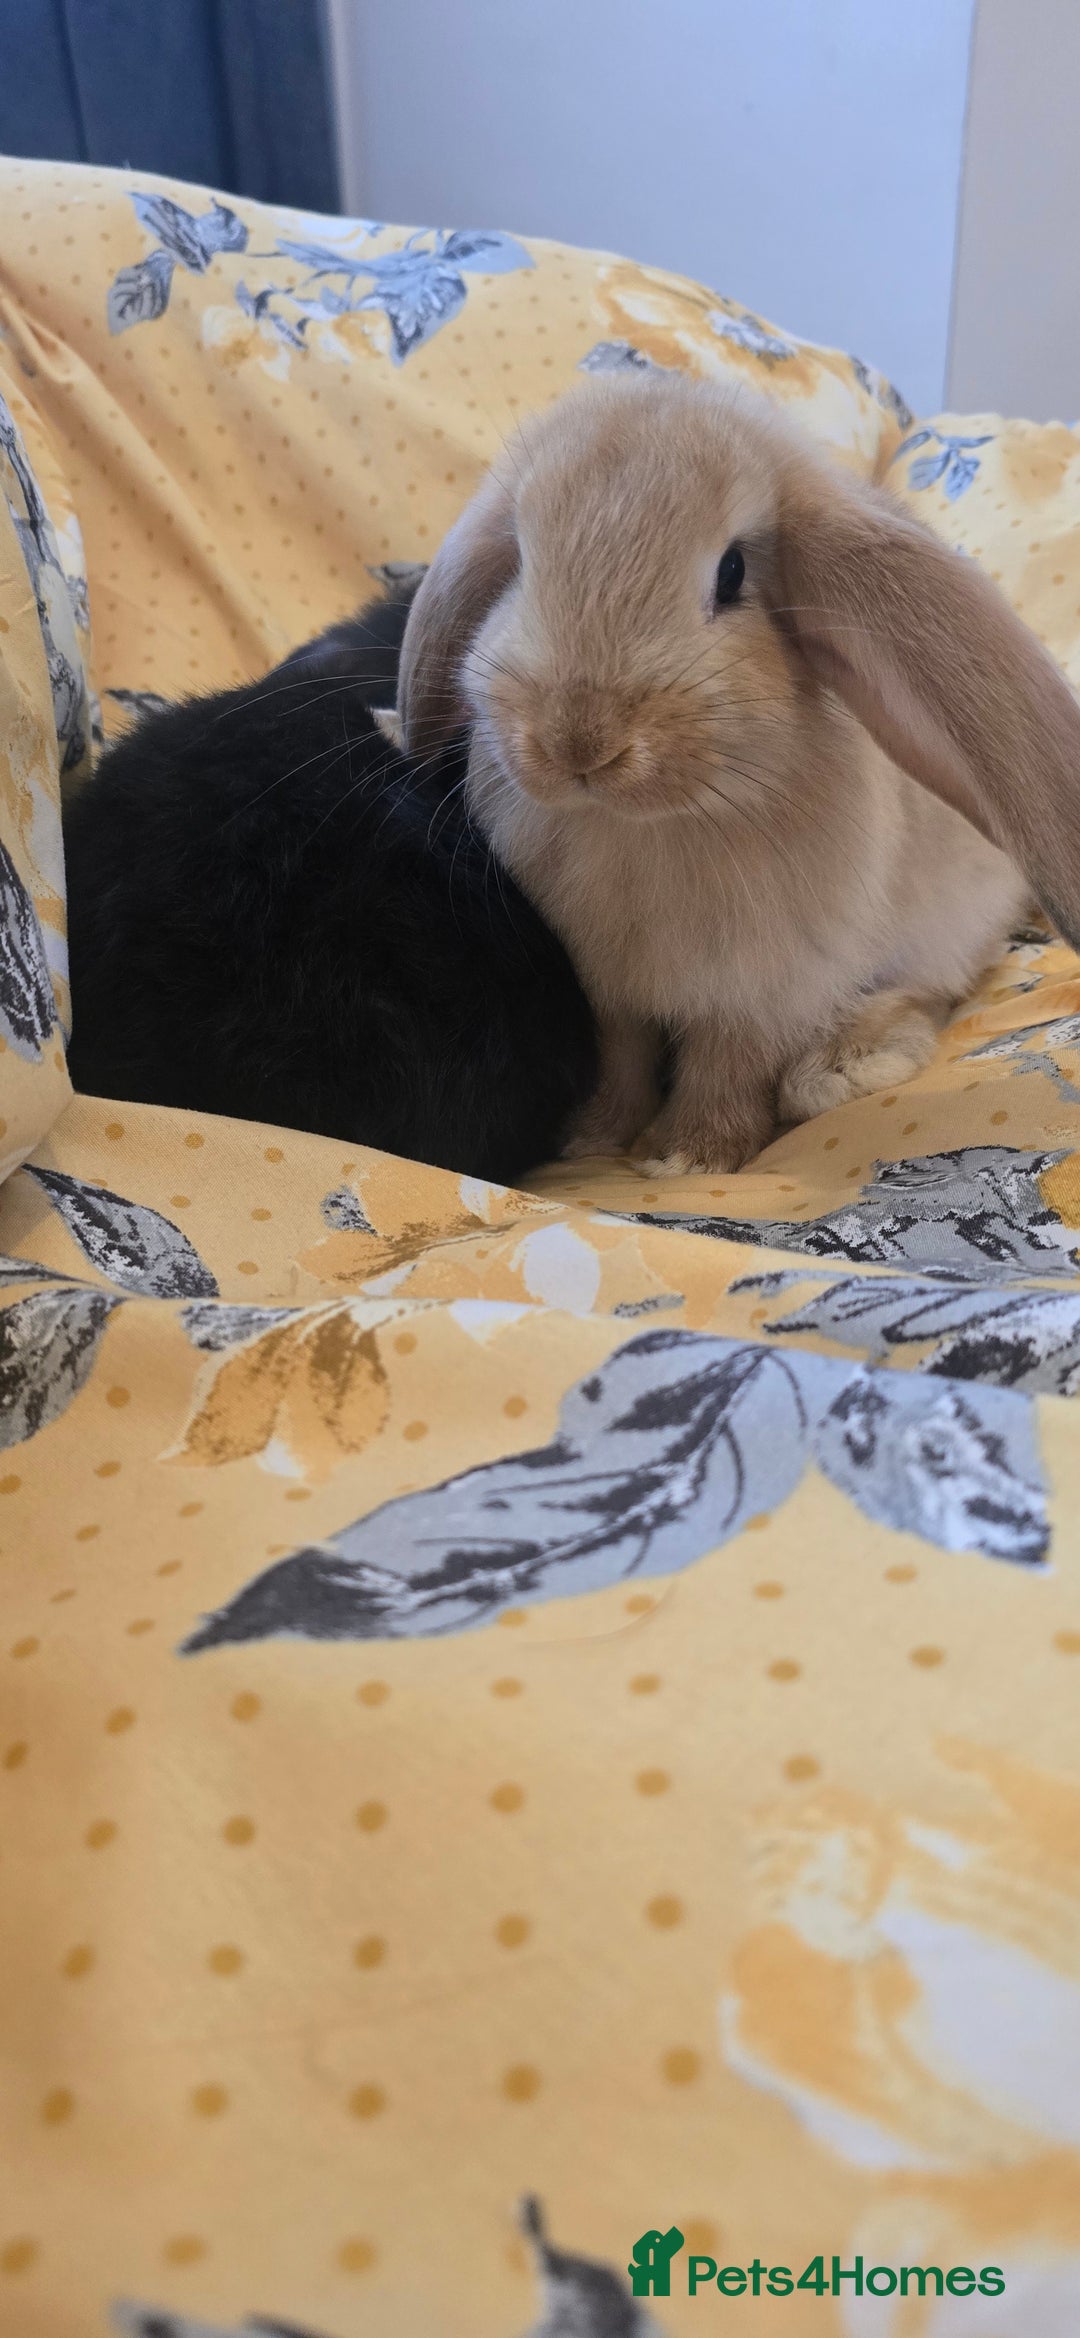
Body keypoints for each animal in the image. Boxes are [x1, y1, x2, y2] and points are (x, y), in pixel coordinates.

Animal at [398, 369, 1080, 1176]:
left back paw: (842, 1066)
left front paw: (688, 1157)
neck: (648, 827)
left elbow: (726, 1067)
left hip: (941, 930)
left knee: (926, 992)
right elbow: (622, 1062)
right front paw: (592, 1141)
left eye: (733, 573)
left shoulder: (761, 992)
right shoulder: (608, 993)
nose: (579, 742)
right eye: (522, 564)